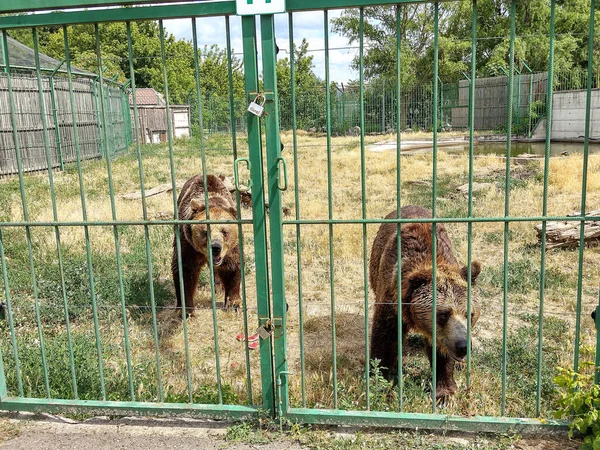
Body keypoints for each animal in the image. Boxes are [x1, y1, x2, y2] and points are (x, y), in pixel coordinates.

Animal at [171, 173, 241, 312]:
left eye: (224, 231)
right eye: (205, 232)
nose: (215, 247)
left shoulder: (231, 248)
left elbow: (231, 268)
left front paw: (234, 303)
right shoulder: (187, 245)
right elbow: (184, 271)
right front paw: (187, 310)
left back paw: (218, 287)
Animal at [370, 206, 482, 402]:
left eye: (470, 314)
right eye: (443, 314)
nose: (463, 345)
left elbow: (440, 351)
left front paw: (444, 393)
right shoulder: (391, 298)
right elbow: (385, 338)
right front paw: (380, 382)